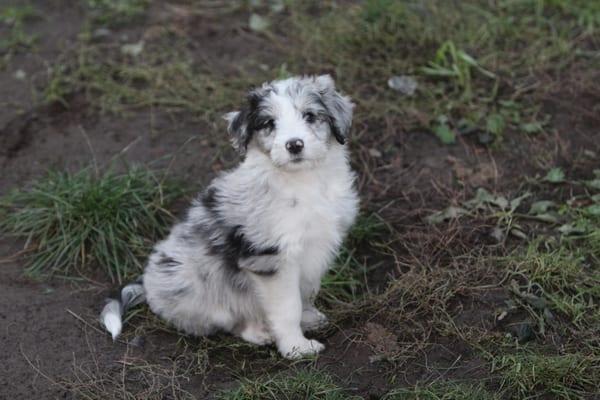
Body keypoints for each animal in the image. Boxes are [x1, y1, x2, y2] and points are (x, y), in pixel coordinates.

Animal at [101, 75, 358, 360]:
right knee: (228, 320)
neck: (304, 180)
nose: (294, 145)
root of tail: (147, 286)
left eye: (310, 116)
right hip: (201, 290)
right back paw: (259, 332)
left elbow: (306, 292)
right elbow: (288, 307)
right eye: (269, 123)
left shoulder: (318, 247)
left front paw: (309, 318)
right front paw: (296, 347)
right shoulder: (271, 257)